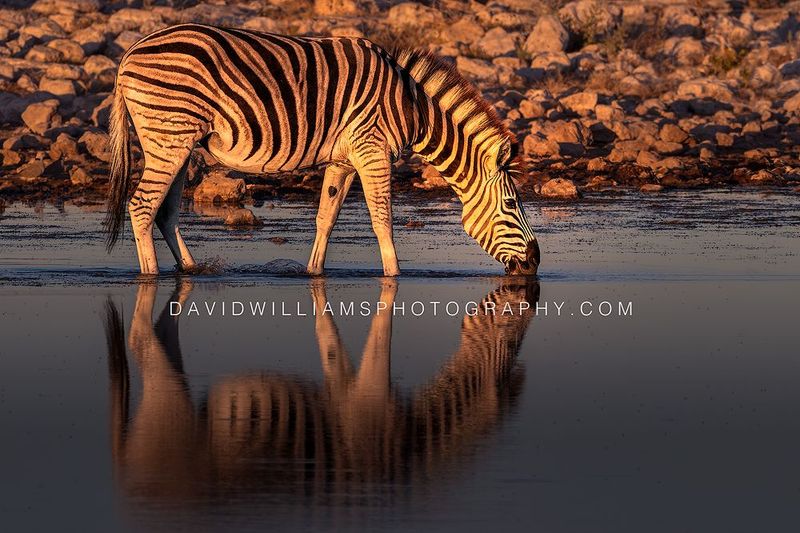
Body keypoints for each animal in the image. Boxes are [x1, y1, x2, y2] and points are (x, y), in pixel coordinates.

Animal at [105, 23, 541, 276]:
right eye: (511, 204)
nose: (536, 262)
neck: (411, 108)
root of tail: (128, 53)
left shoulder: (343, 159)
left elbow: (325, 218)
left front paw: (314, 273)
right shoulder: (372, 149)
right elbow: (382, 219)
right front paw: (394, 276)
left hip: (177, 142)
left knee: (164, 212)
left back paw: (191, 270)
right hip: (169, 136)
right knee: (141, 207)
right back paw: (149, 277)